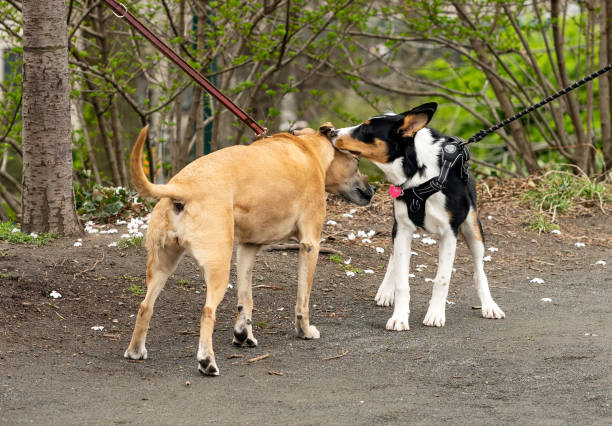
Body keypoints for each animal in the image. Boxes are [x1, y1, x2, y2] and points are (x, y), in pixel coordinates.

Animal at [123, 124, 372, 376]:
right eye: (356, 161)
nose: (371, 190)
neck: (308, 148)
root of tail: (183, 187)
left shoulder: (247, 248)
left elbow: (246, 299)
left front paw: (244, 334)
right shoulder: (310, 244)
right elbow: (303, 299)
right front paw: (305, 330)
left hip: (162, 266)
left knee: (145, 306)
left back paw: (135, 350)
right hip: (218, 268)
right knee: (207, 312)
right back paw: (207, 361)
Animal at [332, 102, 504, 330]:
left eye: (365, 129)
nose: (332, 132)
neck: (419, 175)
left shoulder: (450, 233)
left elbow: (442, 280)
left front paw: (435, 314)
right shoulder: (402, 229)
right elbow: (401, 281)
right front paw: (399, 317)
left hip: (473, 229)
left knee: (479, 270)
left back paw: (489, 305)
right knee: (394, 259)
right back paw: (386, 290)